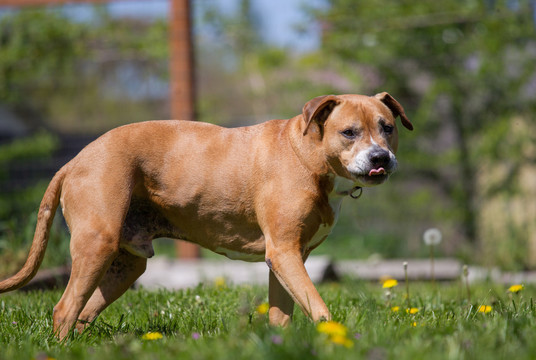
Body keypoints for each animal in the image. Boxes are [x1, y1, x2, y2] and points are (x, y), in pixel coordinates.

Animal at [0, 92, 412, 338]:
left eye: (387, 128)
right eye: (349, 132)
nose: (381, 157)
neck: (308, 155)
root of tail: (73, 162)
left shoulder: (287, 258)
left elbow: (283, 312)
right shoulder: (284, 253)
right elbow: (318, 306)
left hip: (125, 264)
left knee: (83, 312)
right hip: (96, 246)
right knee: (64, 308)